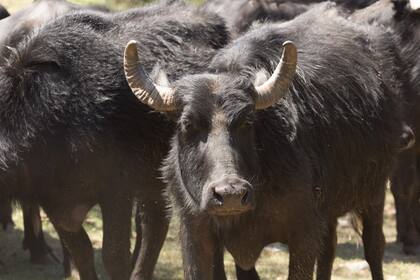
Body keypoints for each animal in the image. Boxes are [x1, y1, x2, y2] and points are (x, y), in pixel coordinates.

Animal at [124, 2, 404, 280]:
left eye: (247, 123)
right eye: (187, 124)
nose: (230, 194)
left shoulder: (304, 233)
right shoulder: (194, 231)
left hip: (375, 191)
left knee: (373, 247)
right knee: (329, 249)